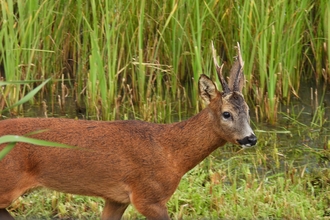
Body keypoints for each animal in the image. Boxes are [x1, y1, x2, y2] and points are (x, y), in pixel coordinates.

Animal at [0, 42, 256, 219]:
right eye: (227, 114)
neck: (171, 152)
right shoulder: (148, 196)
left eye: (248, 110)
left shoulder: (116, 198)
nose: (251, 138)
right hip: (7, 182)